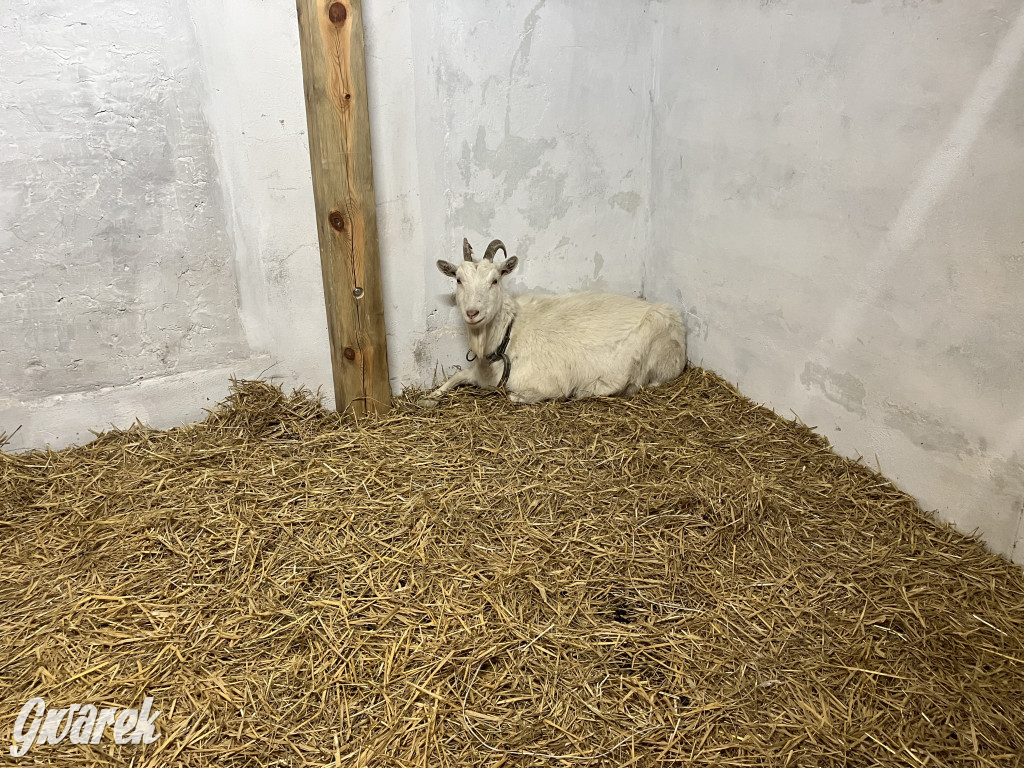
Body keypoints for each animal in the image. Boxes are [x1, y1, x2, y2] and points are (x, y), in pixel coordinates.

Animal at [415, 239, 688, 409]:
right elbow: (455, 376)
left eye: (495, 280)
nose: (473, 312)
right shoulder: (478, 373)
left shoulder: (546, 385)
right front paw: (429, 398)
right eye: (458, 279)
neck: (509, 335)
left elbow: (514, 396)